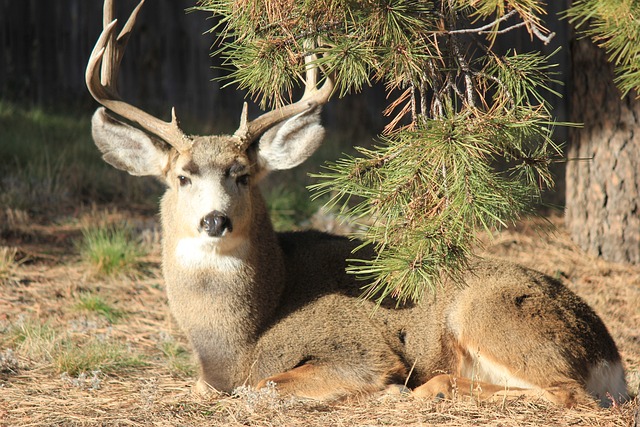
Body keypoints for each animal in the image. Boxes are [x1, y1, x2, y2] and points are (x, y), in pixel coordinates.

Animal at [86, 0, 632, 408]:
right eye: (182, 177)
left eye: (241, 175)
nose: (214, 220)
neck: (240, 339)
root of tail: (611, 358)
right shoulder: (209, 376)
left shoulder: (358, 348)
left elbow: (264, 385)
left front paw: (385, 388)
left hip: (487, 313)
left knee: (565, 392)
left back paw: (425, 390)